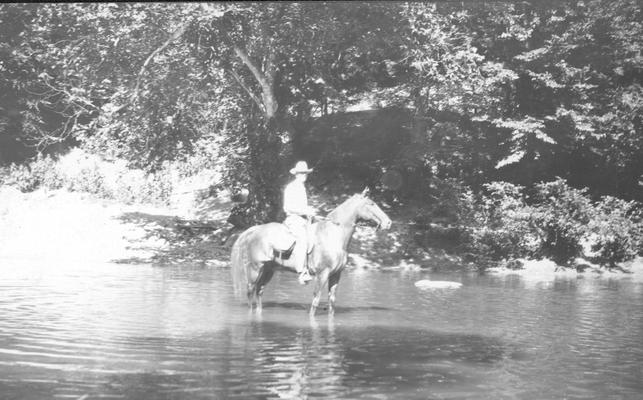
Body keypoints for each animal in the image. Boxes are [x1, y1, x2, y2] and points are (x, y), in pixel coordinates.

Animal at [231, 189, 392, 318]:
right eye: (371, 204)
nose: (389, 222)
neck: (334, 235)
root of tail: (255, 230)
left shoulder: (336, 274)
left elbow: (331, 301)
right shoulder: (322, 274)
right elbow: (315, 300)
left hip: (269, 269)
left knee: (259, 290)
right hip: (255, 268)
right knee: (250, 291)